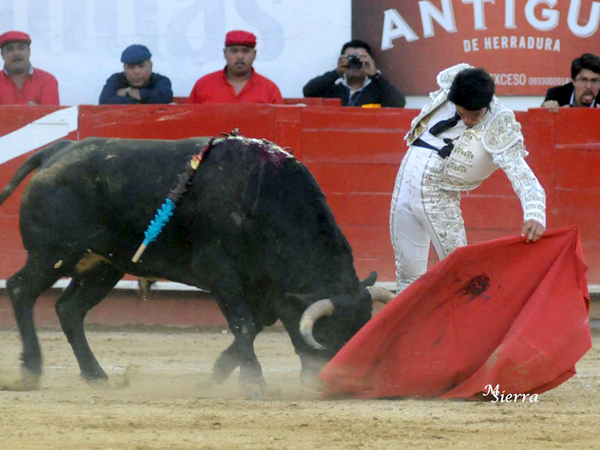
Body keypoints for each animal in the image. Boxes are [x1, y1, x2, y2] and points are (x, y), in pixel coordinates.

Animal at [0, 134, 390, 394]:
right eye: (329, 334)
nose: (337, 385)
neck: (264, 201)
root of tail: (56, 151)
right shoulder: (223, 277)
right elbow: (243, 325)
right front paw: (254, 383)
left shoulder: (267, 291)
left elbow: (253, 326)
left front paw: (215, 376)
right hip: (52, 255)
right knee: (20, 290)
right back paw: (31, 369)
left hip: (102, 266)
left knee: (69, 309)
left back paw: (96, 376)